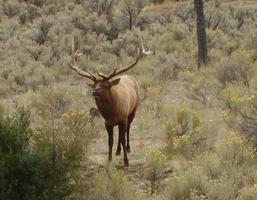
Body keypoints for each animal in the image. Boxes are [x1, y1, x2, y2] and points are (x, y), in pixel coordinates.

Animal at [68, 35, 149, 166]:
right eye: (95, 84)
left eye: (105, 85)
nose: (95, 92)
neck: (112, 112)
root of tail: (130, 76)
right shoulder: (107, 122)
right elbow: (110, 140)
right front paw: (109, 158)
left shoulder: (123, 118)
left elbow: (122, 138)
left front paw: (126, 161)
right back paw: (118, 151)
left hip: (133, 111)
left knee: (127, 130)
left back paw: (128, 148)